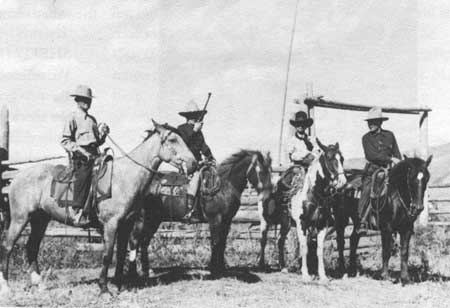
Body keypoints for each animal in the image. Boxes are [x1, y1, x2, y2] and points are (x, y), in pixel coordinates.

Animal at [0, 119, 197, 294]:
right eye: (173, 140)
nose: (193, 163)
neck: (124, 178)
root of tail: (16, 178)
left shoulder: (126, 224)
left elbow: (120, 254)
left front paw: (119, 284)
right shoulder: (111, 224)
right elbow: (107, 254)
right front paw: (104, 288)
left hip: (40, 219)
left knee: (32, 247)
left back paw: (39, 284)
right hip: (20, 219)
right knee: (8, 246)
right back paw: (7, 287)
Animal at [114, 149, 272, 282]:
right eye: (261, 170)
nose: (268, 195)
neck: (223, 186)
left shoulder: (226, 222)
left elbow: (223, 243)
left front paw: (222, 268)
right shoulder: (215, 220)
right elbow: (215, 243)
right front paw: (214, 270)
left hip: (154, 221)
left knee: (144, 242)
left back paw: (146, 271)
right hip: (142, 220)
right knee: (134, 241)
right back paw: (133, 273)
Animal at [258, 140, 346, 282]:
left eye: (342, 158)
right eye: (329, 158)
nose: (342, 182)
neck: (313, 195)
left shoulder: (322, 225)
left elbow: (319, 250)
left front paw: (323, 276)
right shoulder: (301, 224)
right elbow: (304, 248)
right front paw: (306, 275)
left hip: (286, 223)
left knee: (280, 241)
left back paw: (283, 267)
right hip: (264, 220)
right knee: (263, 240)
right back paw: (261, 265)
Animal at [336, 155, 430, 286]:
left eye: (426, 178)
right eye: (411, 178)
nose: (418, 208)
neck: (396, 197)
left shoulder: (406, 230)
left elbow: (404, 253)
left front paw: (405, 279)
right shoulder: (386, 229)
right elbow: (386, 252)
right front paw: (384, 276)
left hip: (357, 222)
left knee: (353, 239)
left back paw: (352, 271)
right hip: (341, 220)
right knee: (341, 242)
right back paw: (342, 269)